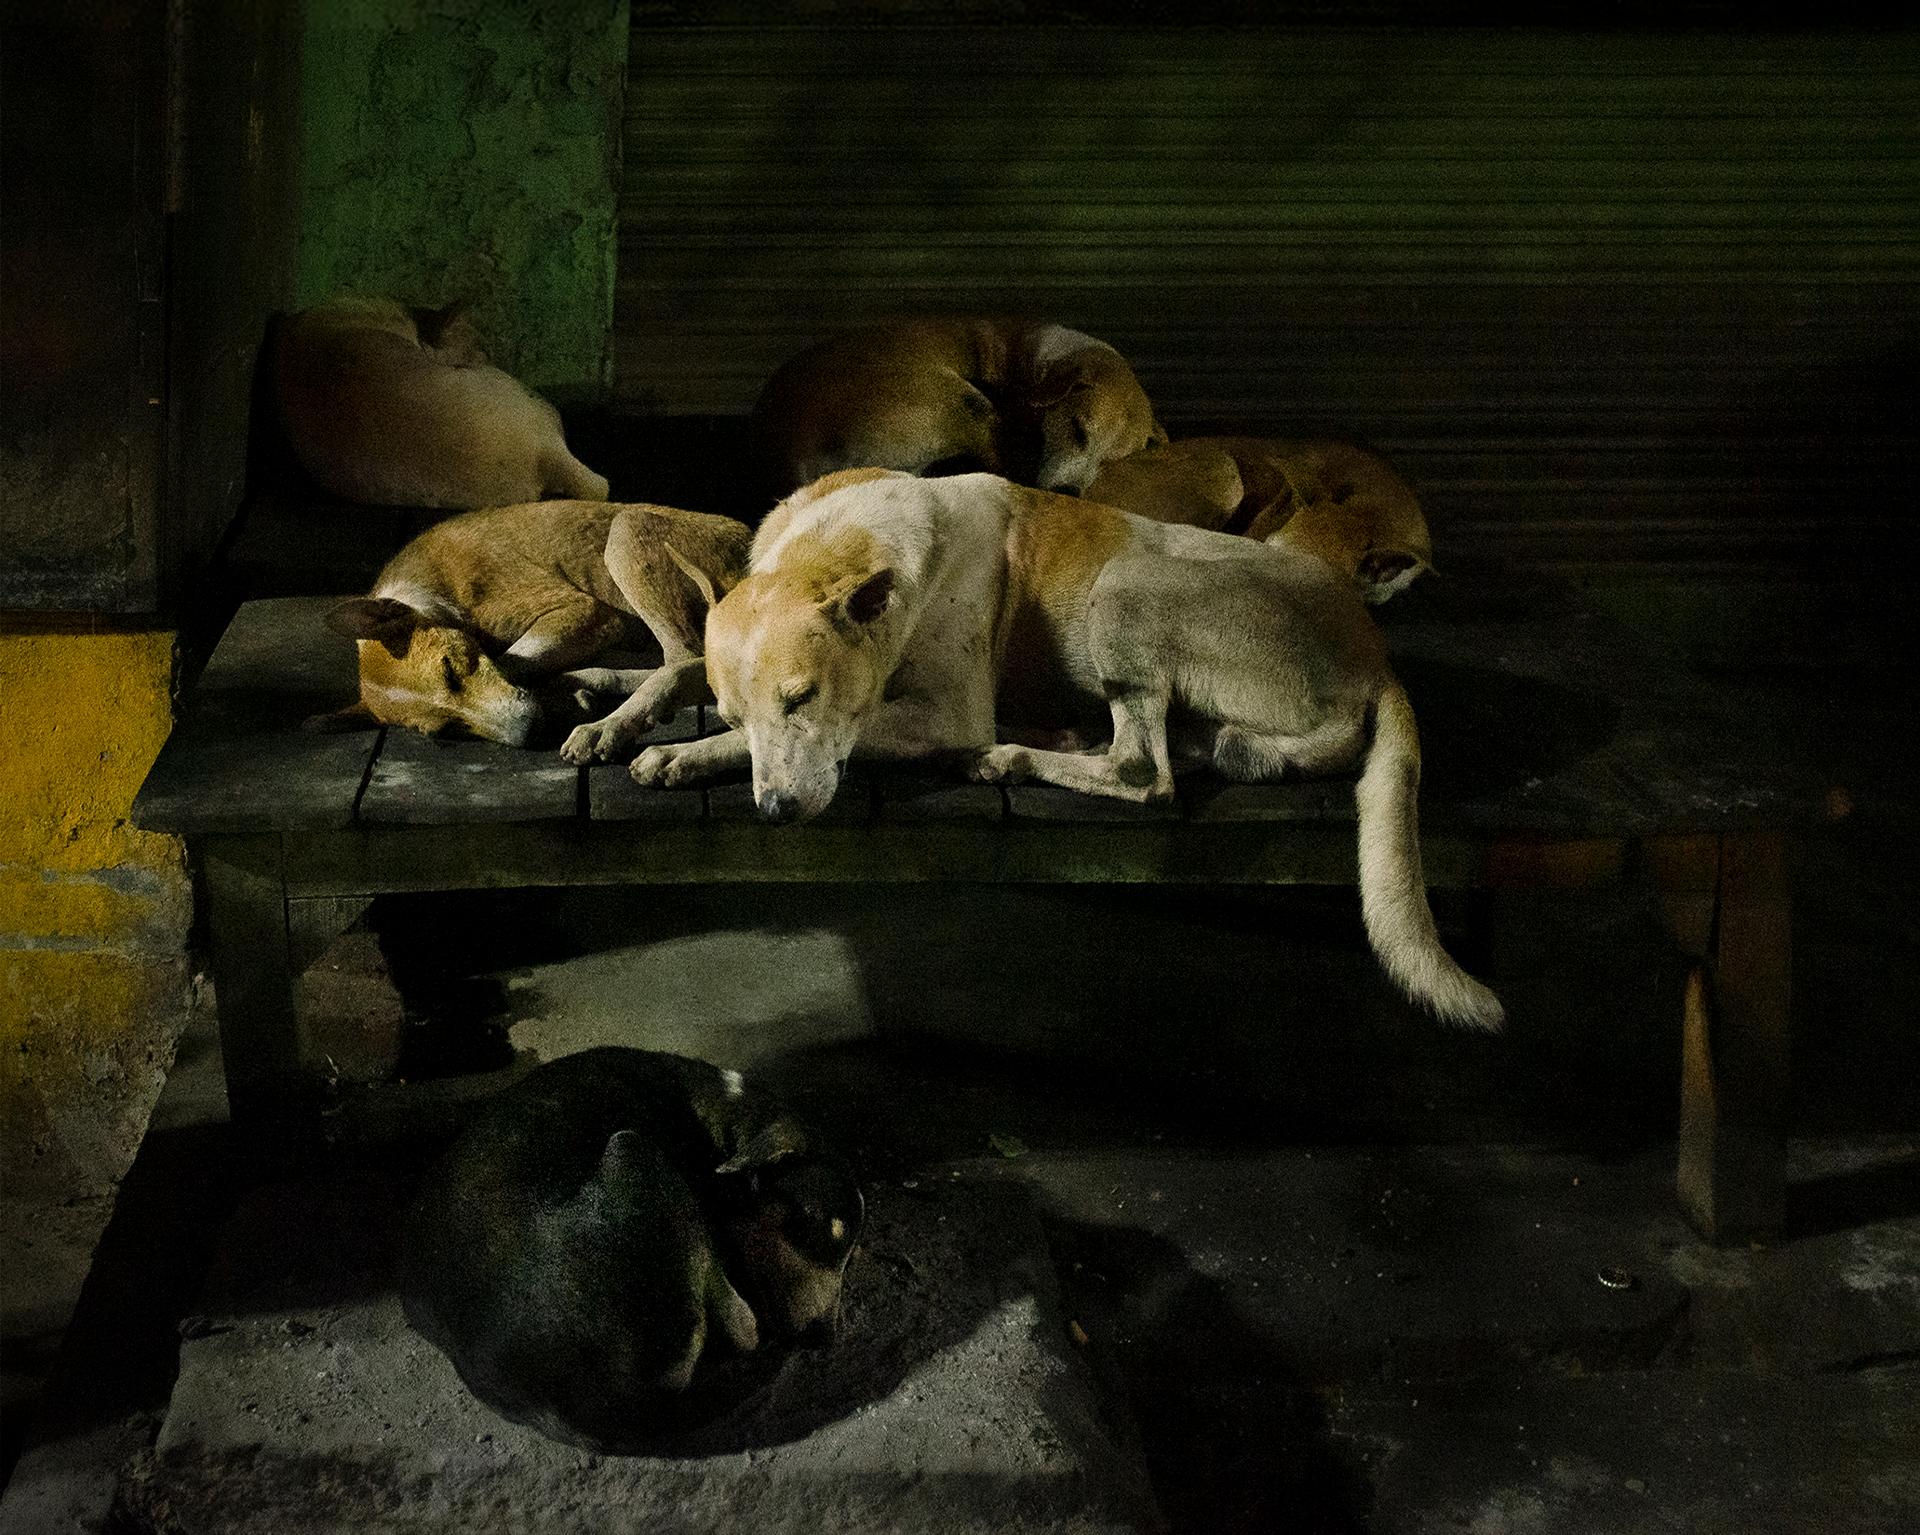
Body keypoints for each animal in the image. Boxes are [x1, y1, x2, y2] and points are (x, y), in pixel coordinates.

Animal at [312, 499, 748, 749]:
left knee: (681, 657)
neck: (428, 591)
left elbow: (511, 660)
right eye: (446, 731)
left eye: (450, 671)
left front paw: (558, 698)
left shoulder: (583, 611)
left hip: (625, 531)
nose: (528, 733)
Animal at [401, 1045, 867, 1452]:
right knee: (741, 1327)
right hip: (636, 1153)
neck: (728, 1118)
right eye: (814, 1227)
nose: (826, 1339)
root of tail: (576, 1407)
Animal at [629, 470, 1497, 1029]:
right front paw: (629, 718)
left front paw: (689, 754)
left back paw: (1011, 756)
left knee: (1144, 769)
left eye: (802, 699)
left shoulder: (947, 713)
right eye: (744, 705)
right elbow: (676, 673)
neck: (843, 541)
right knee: (1189, 749)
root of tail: (1373, 654)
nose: (775, 811)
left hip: (1127, 584)